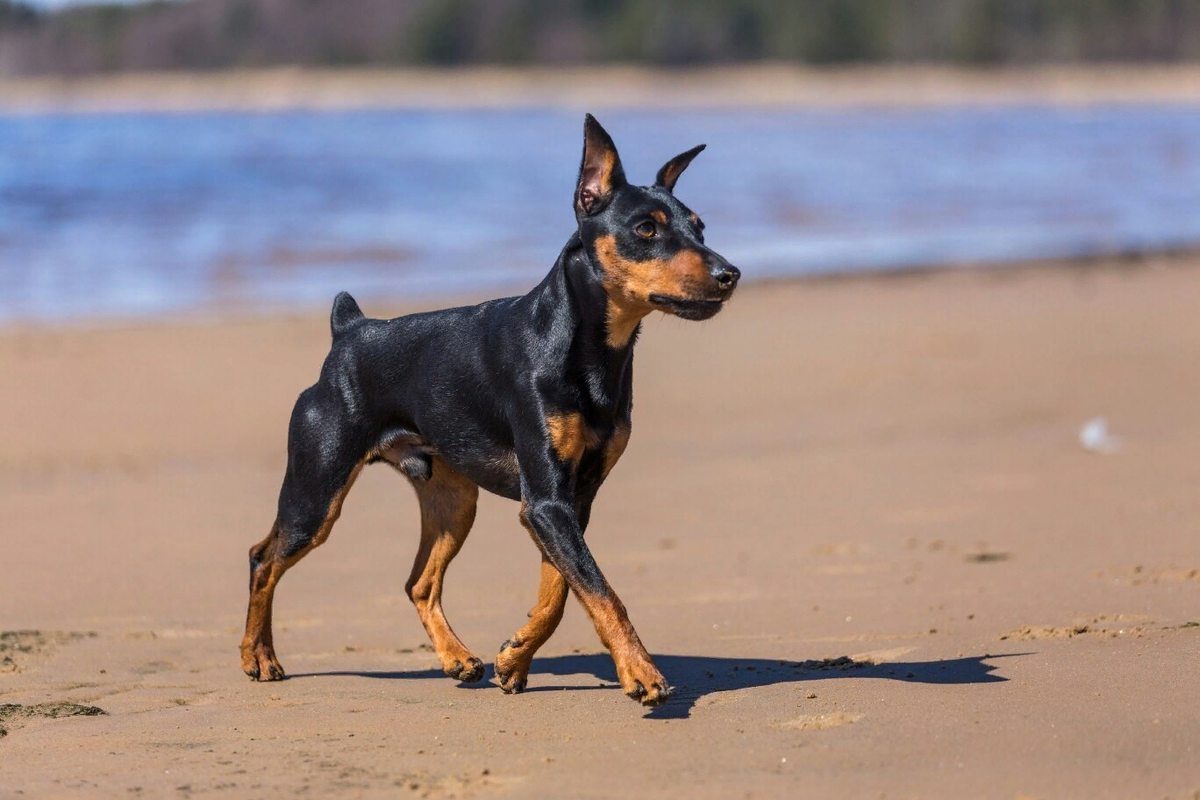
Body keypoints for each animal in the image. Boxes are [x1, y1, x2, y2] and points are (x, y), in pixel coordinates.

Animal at [238, 113, 734, 705]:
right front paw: (640, 672)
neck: (591, 351)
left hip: (454, 501)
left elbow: (561, 593)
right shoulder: (546, 502)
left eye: (700, 228)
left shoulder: (569, 500)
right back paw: (258, 657)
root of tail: (349, 330)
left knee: (418, 582)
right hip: (316, 494)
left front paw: (514, 658)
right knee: (263, 558)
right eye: (646, 230)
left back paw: (457, 658)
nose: (730, 274)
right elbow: (600, 590)